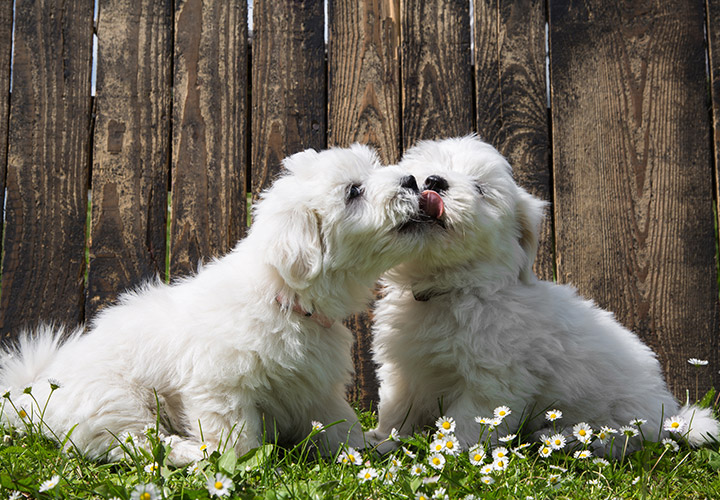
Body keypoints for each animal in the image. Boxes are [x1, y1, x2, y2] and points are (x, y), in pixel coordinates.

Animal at [0, 145, 428, 464]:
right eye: (353, 191)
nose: (411, 179)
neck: (284, 298)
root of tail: (35, 392)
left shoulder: (318, 387)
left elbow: (340, 424)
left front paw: (367, 450)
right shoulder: (221, 387)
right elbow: (238, 439)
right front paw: (249, 468)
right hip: (115, 400)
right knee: (137, 442)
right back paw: (190, 453)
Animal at [368, 136, 716, 454]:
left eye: (481, 189)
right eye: (420, 175)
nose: (434, 181)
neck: (454, 289)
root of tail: (669, 416)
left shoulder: (492, 381)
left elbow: (469, 422)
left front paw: (450, 452)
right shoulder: (404, 369)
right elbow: (397, 408)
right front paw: (382, 441)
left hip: (620, 417)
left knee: (611, 438)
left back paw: (552, 438)